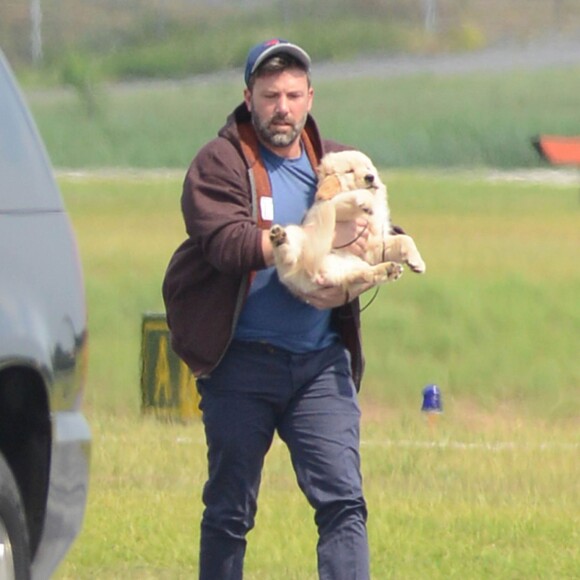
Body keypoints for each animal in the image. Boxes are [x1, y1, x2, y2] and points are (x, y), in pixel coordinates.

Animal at [270, 150, 426, 296]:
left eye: (368, 167)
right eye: (349, 171)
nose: (370, 177)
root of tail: (314, 270)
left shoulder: (372, 247)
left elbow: (404, 238)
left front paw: (417, 262)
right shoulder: (332, 204)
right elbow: (351, 196)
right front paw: (366, 201)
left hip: (350, 268)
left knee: (364, 274)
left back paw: (389, 269)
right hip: (298, 235)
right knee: (288, 258)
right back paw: (279, 238)